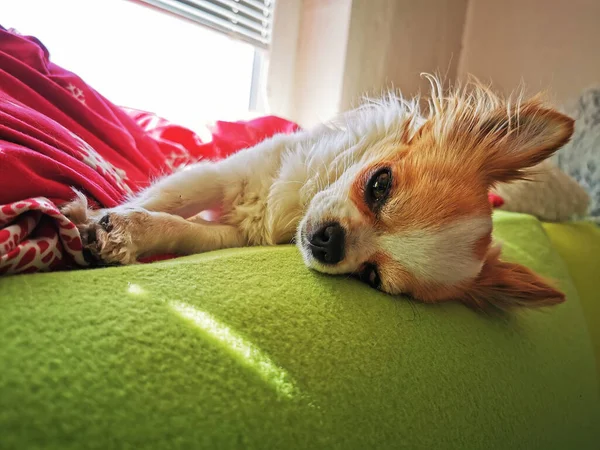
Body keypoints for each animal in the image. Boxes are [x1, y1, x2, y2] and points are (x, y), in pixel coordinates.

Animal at [62, 76, 576, 310]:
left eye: (372, 278)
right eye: (380, 183)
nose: (330, 241)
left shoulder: (235, 237)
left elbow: (181, 229)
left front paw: (128, 233)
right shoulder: (226, 174)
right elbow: (171, 199)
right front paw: (99, 214)